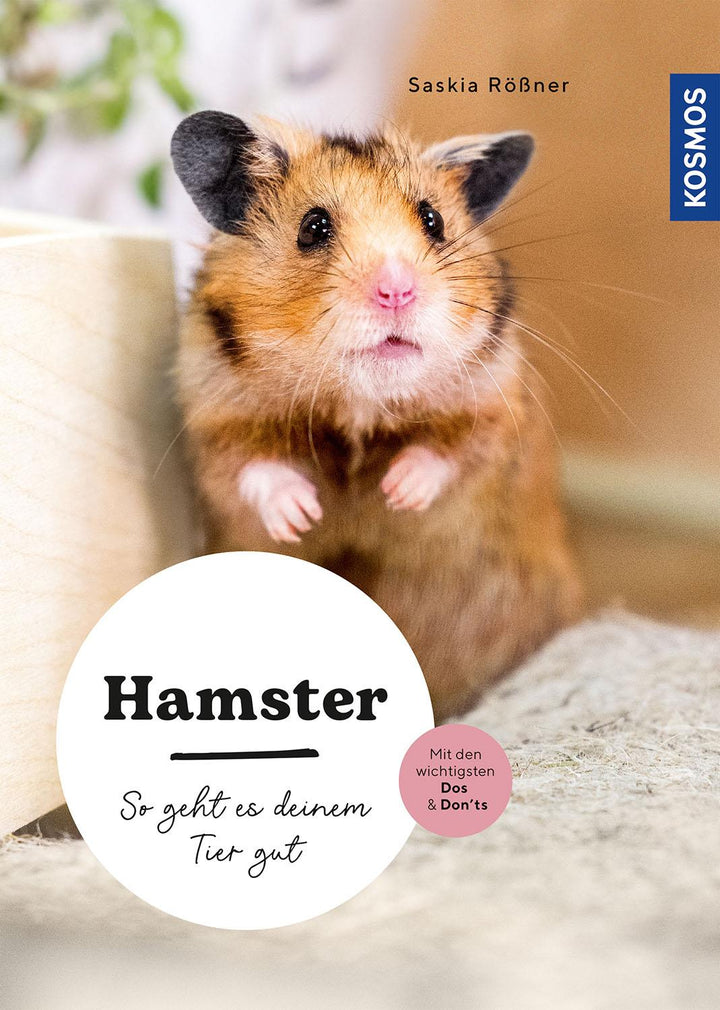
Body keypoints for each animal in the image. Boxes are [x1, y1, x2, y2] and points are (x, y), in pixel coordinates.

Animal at [171, 110, 583, 722]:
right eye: (313, 226)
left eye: (433, 220)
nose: (396, 291)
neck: (361, 402)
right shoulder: (213, 418)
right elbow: (253, 467)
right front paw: (304, 515)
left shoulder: (495, 415)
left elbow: (449, 454)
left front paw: (395, 493)